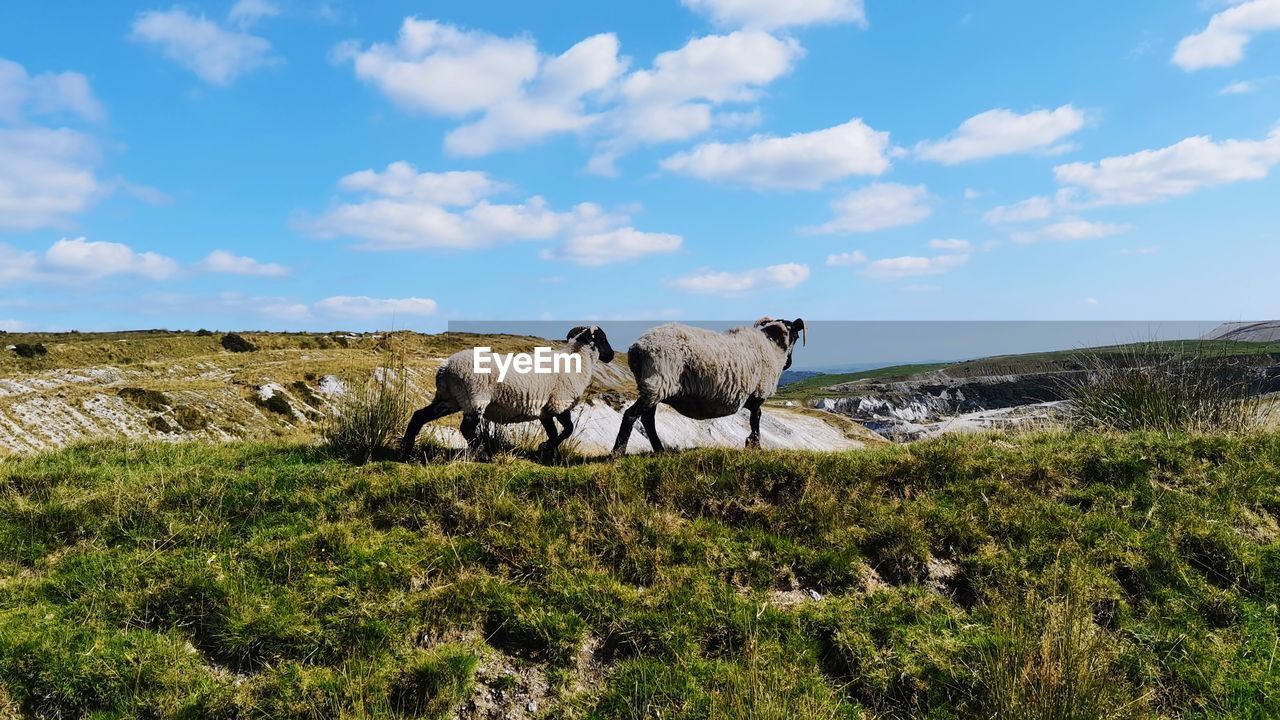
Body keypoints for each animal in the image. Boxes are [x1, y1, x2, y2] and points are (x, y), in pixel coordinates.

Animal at [401, 325, 616, 458]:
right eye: (603, 338)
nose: (612, 355)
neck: (577, 361)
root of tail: (444, 369)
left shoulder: (545, 409)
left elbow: (554, 433)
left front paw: (546, 453)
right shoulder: (559, 404)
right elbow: (567, 430)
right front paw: (544, 449)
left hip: (450, 399)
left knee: (419, 416)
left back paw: (405, 450)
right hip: (474, 397)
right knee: (466, 429)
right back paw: (483, 455)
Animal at [611, 313, 808, 453]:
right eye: (797, 336)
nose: (789, 364)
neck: (773, 347)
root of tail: (637, 348)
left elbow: (755, 422)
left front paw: (752, 444)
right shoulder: (758, 394)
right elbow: (755, 421)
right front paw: (756, 447)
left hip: (654, 386)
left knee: (647, 419)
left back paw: (660, 451)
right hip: (658, 380)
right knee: (631, 415)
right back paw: (617, 454)